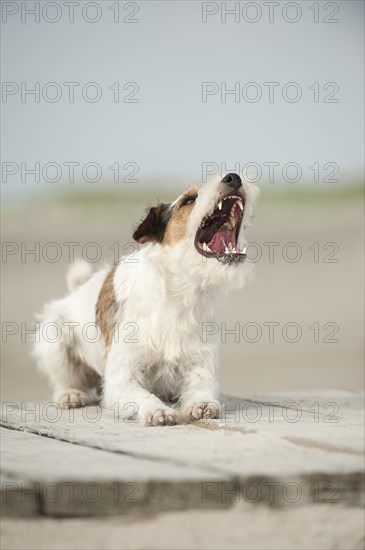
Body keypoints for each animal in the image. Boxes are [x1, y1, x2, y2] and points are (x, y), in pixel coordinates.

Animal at [32, 172, 258, 426]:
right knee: (64, 379)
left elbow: (202, 384)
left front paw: (201, 403)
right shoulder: (121, 379)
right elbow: (141, 395)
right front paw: (157, 410)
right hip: (55, 340)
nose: (233, 177)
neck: (179, 292)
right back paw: (70, 394)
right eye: (189, 200)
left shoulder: (200, 362)